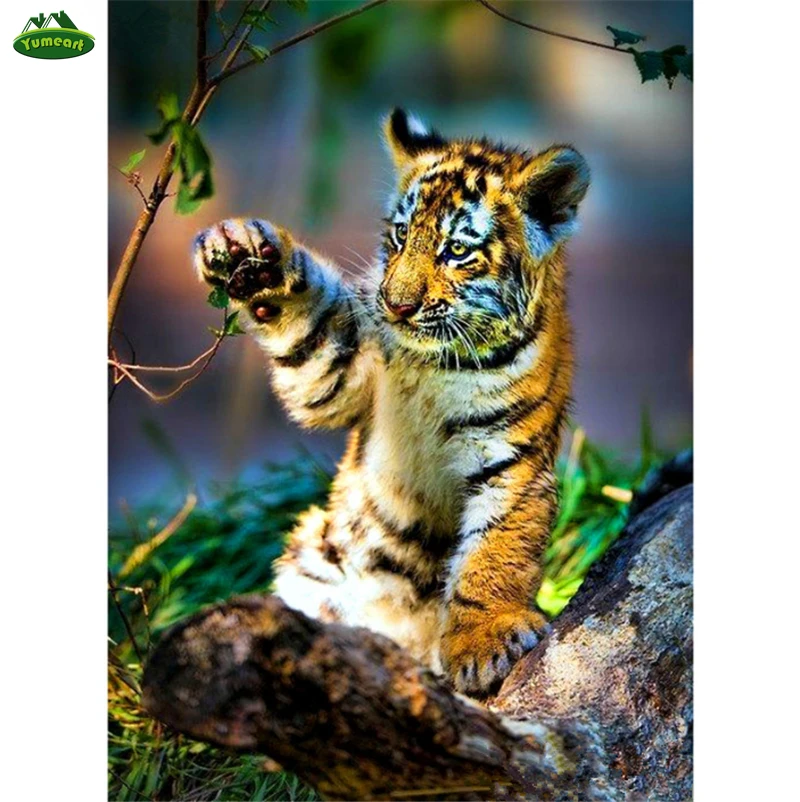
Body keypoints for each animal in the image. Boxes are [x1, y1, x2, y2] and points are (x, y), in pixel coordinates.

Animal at [191, 109, 589, 695]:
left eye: (457, 250)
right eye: (401, 235)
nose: (398, 306)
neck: (438, 363)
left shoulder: (511, 457)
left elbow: (495, 551)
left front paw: (482, 643)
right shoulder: (343, 375)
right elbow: (311, 332)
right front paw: (246, 252)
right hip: (315, 557)